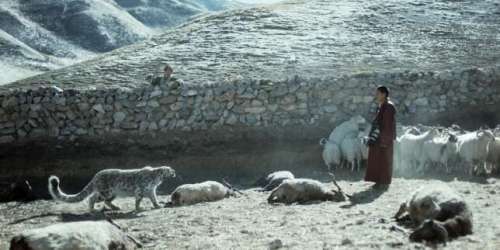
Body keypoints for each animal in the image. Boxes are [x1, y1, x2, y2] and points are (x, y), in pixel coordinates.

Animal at [47, 165, 175, 212]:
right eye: (171, 170)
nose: (175, 173)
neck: (156, 179)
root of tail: (96, 175)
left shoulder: (151, 190)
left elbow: (154, 198)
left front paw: (157, 205)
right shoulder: (140, 190)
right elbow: (138, 200)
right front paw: (139, 208)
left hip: (112, 194)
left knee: (106, 202)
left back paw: (116, 207)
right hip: (106, 192)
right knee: (92, 198)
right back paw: (93, 209)